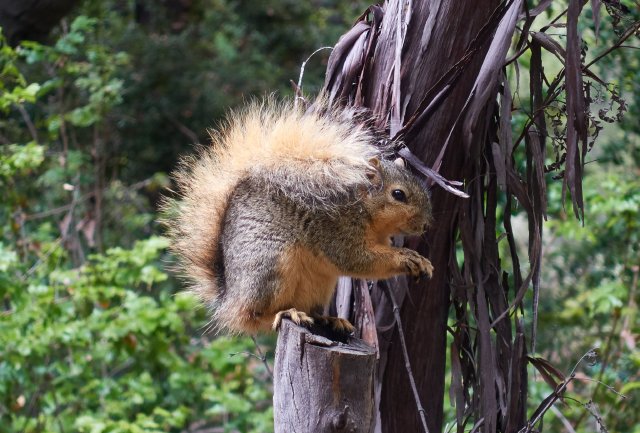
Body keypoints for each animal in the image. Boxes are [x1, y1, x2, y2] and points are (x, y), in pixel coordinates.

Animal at [165, 98, 436, 334]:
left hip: (319, 284)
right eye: (398, 194)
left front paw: (421, 260)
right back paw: (286, 313)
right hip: (271, 267)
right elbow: (357, 259)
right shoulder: (337, 230)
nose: (425, 226)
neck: (364, 210)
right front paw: (406, 257)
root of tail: (230, 300)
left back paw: (328, 318)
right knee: (257, 316)